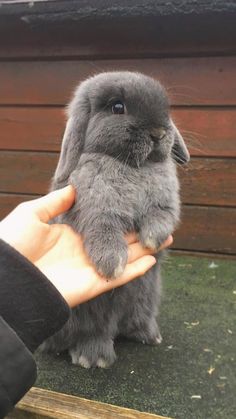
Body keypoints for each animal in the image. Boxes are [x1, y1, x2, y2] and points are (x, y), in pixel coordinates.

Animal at [42, 72, 190, 368]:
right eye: (117, 107)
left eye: (167, 109)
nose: (159, 133)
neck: (135, 166)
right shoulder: (96, 212)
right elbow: (104, 230)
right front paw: (112, 265)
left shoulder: (165, 205)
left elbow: (161, 217)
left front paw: (151, 239)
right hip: (88, 315)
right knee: (92, 333)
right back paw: (93, 357)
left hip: (145, 299)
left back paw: (149, 335)